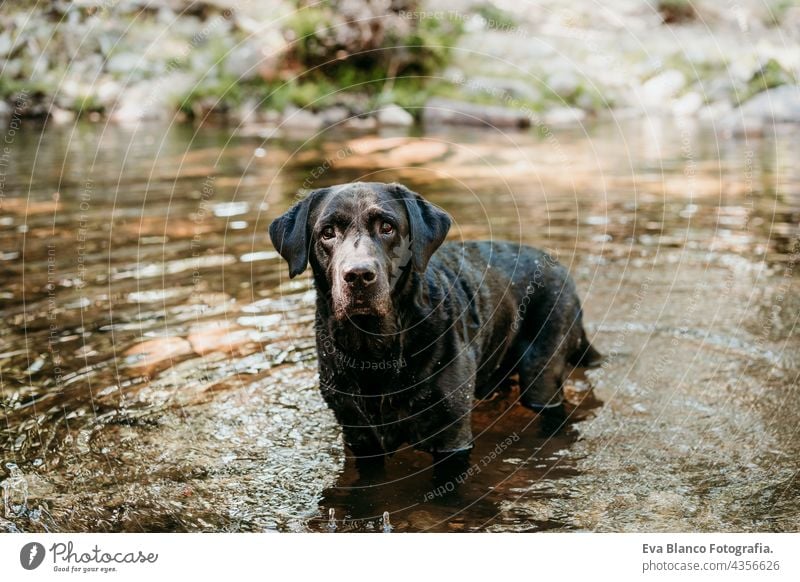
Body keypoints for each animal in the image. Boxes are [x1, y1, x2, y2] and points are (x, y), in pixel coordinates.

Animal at [270, 182, 600, 474]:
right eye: (327, 232)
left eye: (387, 227)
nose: (359, 275)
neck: (375, 350)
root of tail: (557, 263)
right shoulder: (358, 435)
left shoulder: (452, 436)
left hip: (542, 370)